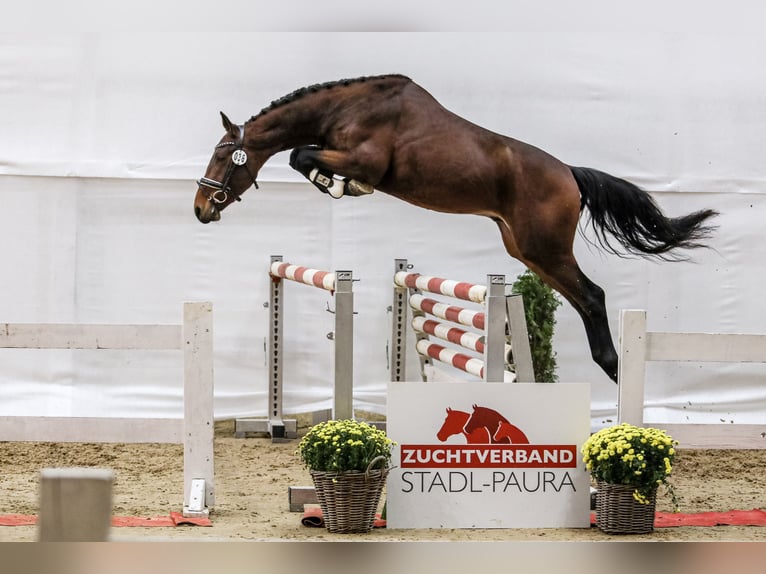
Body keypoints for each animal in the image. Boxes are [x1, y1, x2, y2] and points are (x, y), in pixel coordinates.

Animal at [194, 75, 720, 382]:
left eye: (223, 155)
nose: (200, 208)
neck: (345, 108)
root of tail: (569, 174)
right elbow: (300, 155)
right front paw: (336, 185)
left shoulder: (365, 158)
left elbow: (301, 155)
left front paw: (340, 186)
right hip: (526, 251)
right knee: (583, 299)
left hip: (545, 248)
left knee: (592, 297)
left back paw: (614, 372)